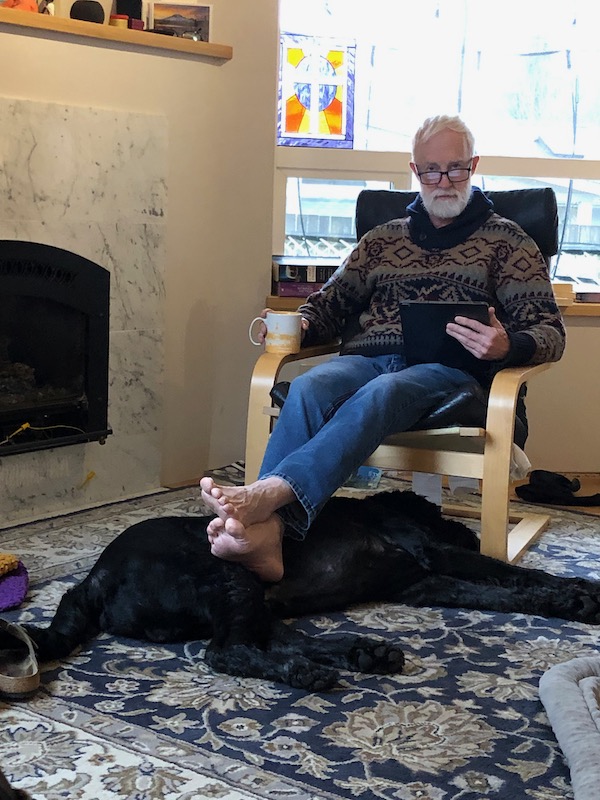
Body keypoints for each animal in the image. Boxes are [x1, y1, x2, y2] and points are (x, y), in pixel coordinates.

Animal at [17, 490, 600, 692]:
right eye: (442, 519)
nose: (471, 531)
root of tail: (93, 578)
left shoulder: (422, 580)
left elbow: (499, 593)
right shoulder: (435, 557)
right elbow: (519, 578)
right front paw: (576, 594)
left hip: (247, 597)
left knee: (280, 641)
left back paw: (363, 653)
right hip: (227, 579)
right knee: (227, 652)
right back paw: (310, 674)